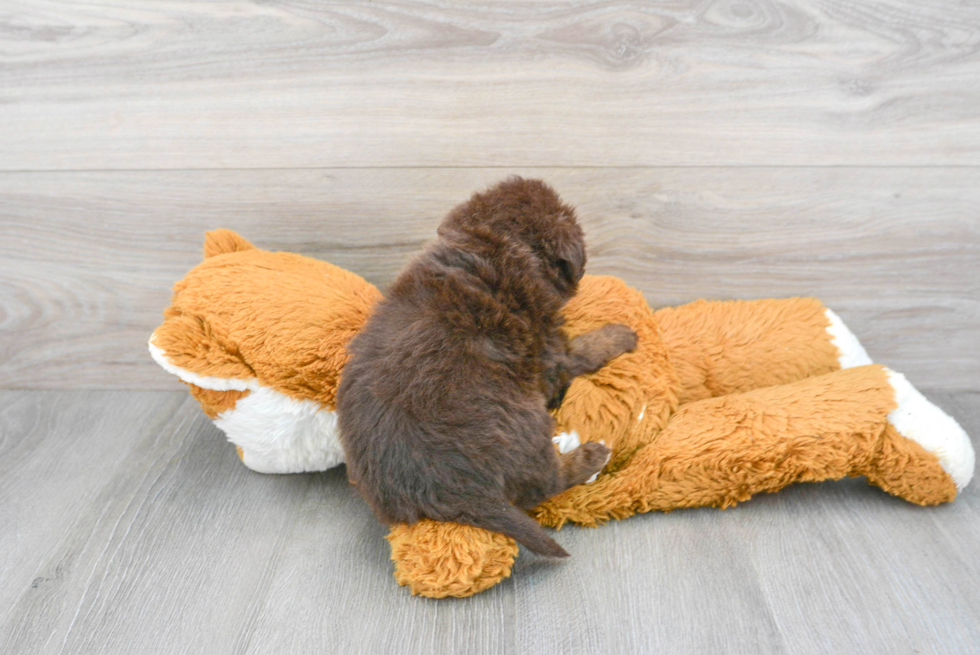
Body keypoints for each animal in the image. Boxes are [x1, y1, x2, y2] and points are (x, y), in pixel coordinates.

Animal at [336, 179, 640, 560]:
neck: (496, 248)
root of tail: (445, 495)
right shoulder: (552, 351)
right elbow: (586, 348)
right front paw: (623, 334)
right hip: (524, 420)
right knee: (543, 484)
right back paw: (589, 456)